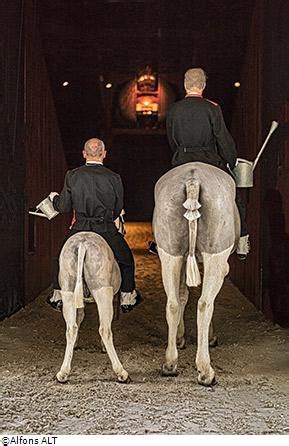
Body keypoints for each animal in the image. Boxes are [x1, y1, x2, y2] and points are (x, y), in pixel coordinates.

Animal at [56, 230, 129, 384]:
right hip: (102, 292)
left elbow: (79, 317)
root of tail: (83, 243)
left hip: (68, 291)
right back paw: (121, 373)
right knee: (105, 329)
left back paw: (63, 373)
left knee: (71, 328)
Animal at [152, 162, 237, 386]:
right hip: (215, 255)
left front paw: (180, 337)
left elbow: (182, 296)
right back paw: (206, 371)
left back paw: (170, 364)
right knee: (205, 303)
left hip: (169, 253)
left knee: (172, 303)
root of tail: (193, 179)